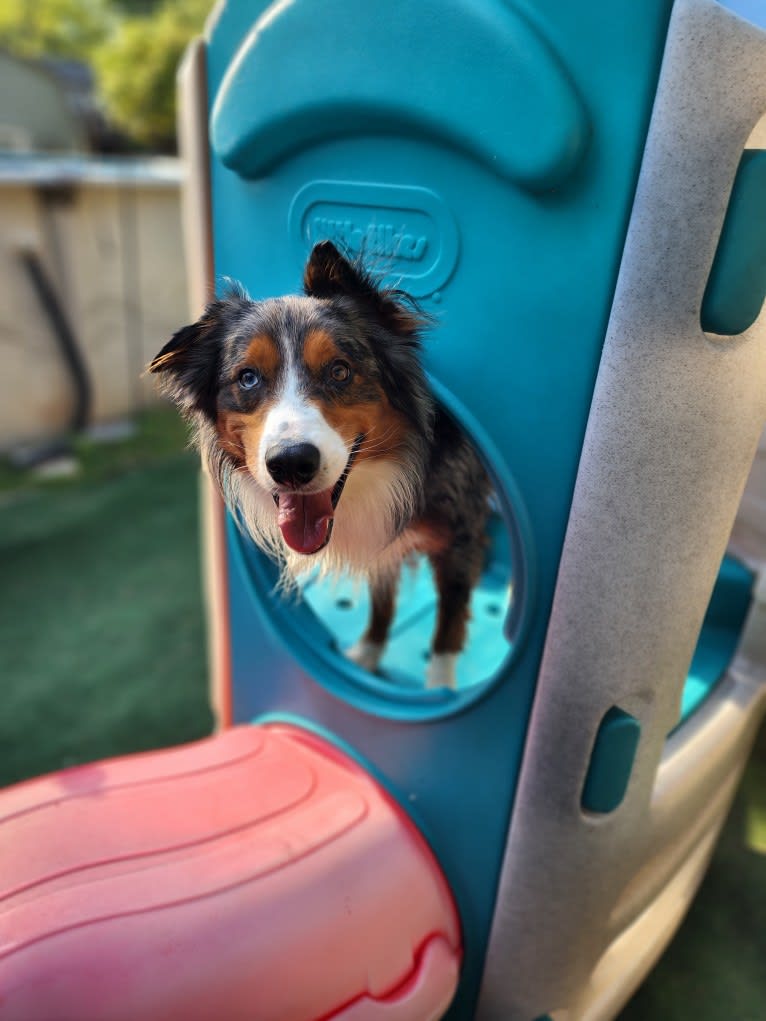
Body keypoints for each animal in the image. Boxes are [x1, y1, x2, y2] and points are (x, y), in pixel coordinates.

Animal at [148, 240, 492, 686]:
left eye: (340, 371)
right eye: (247, 378)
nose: (291, 464)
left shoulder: (460, 536)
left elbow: (448, 627)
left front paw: (440, 689)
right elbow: (382, 595)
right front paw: (366, 655)